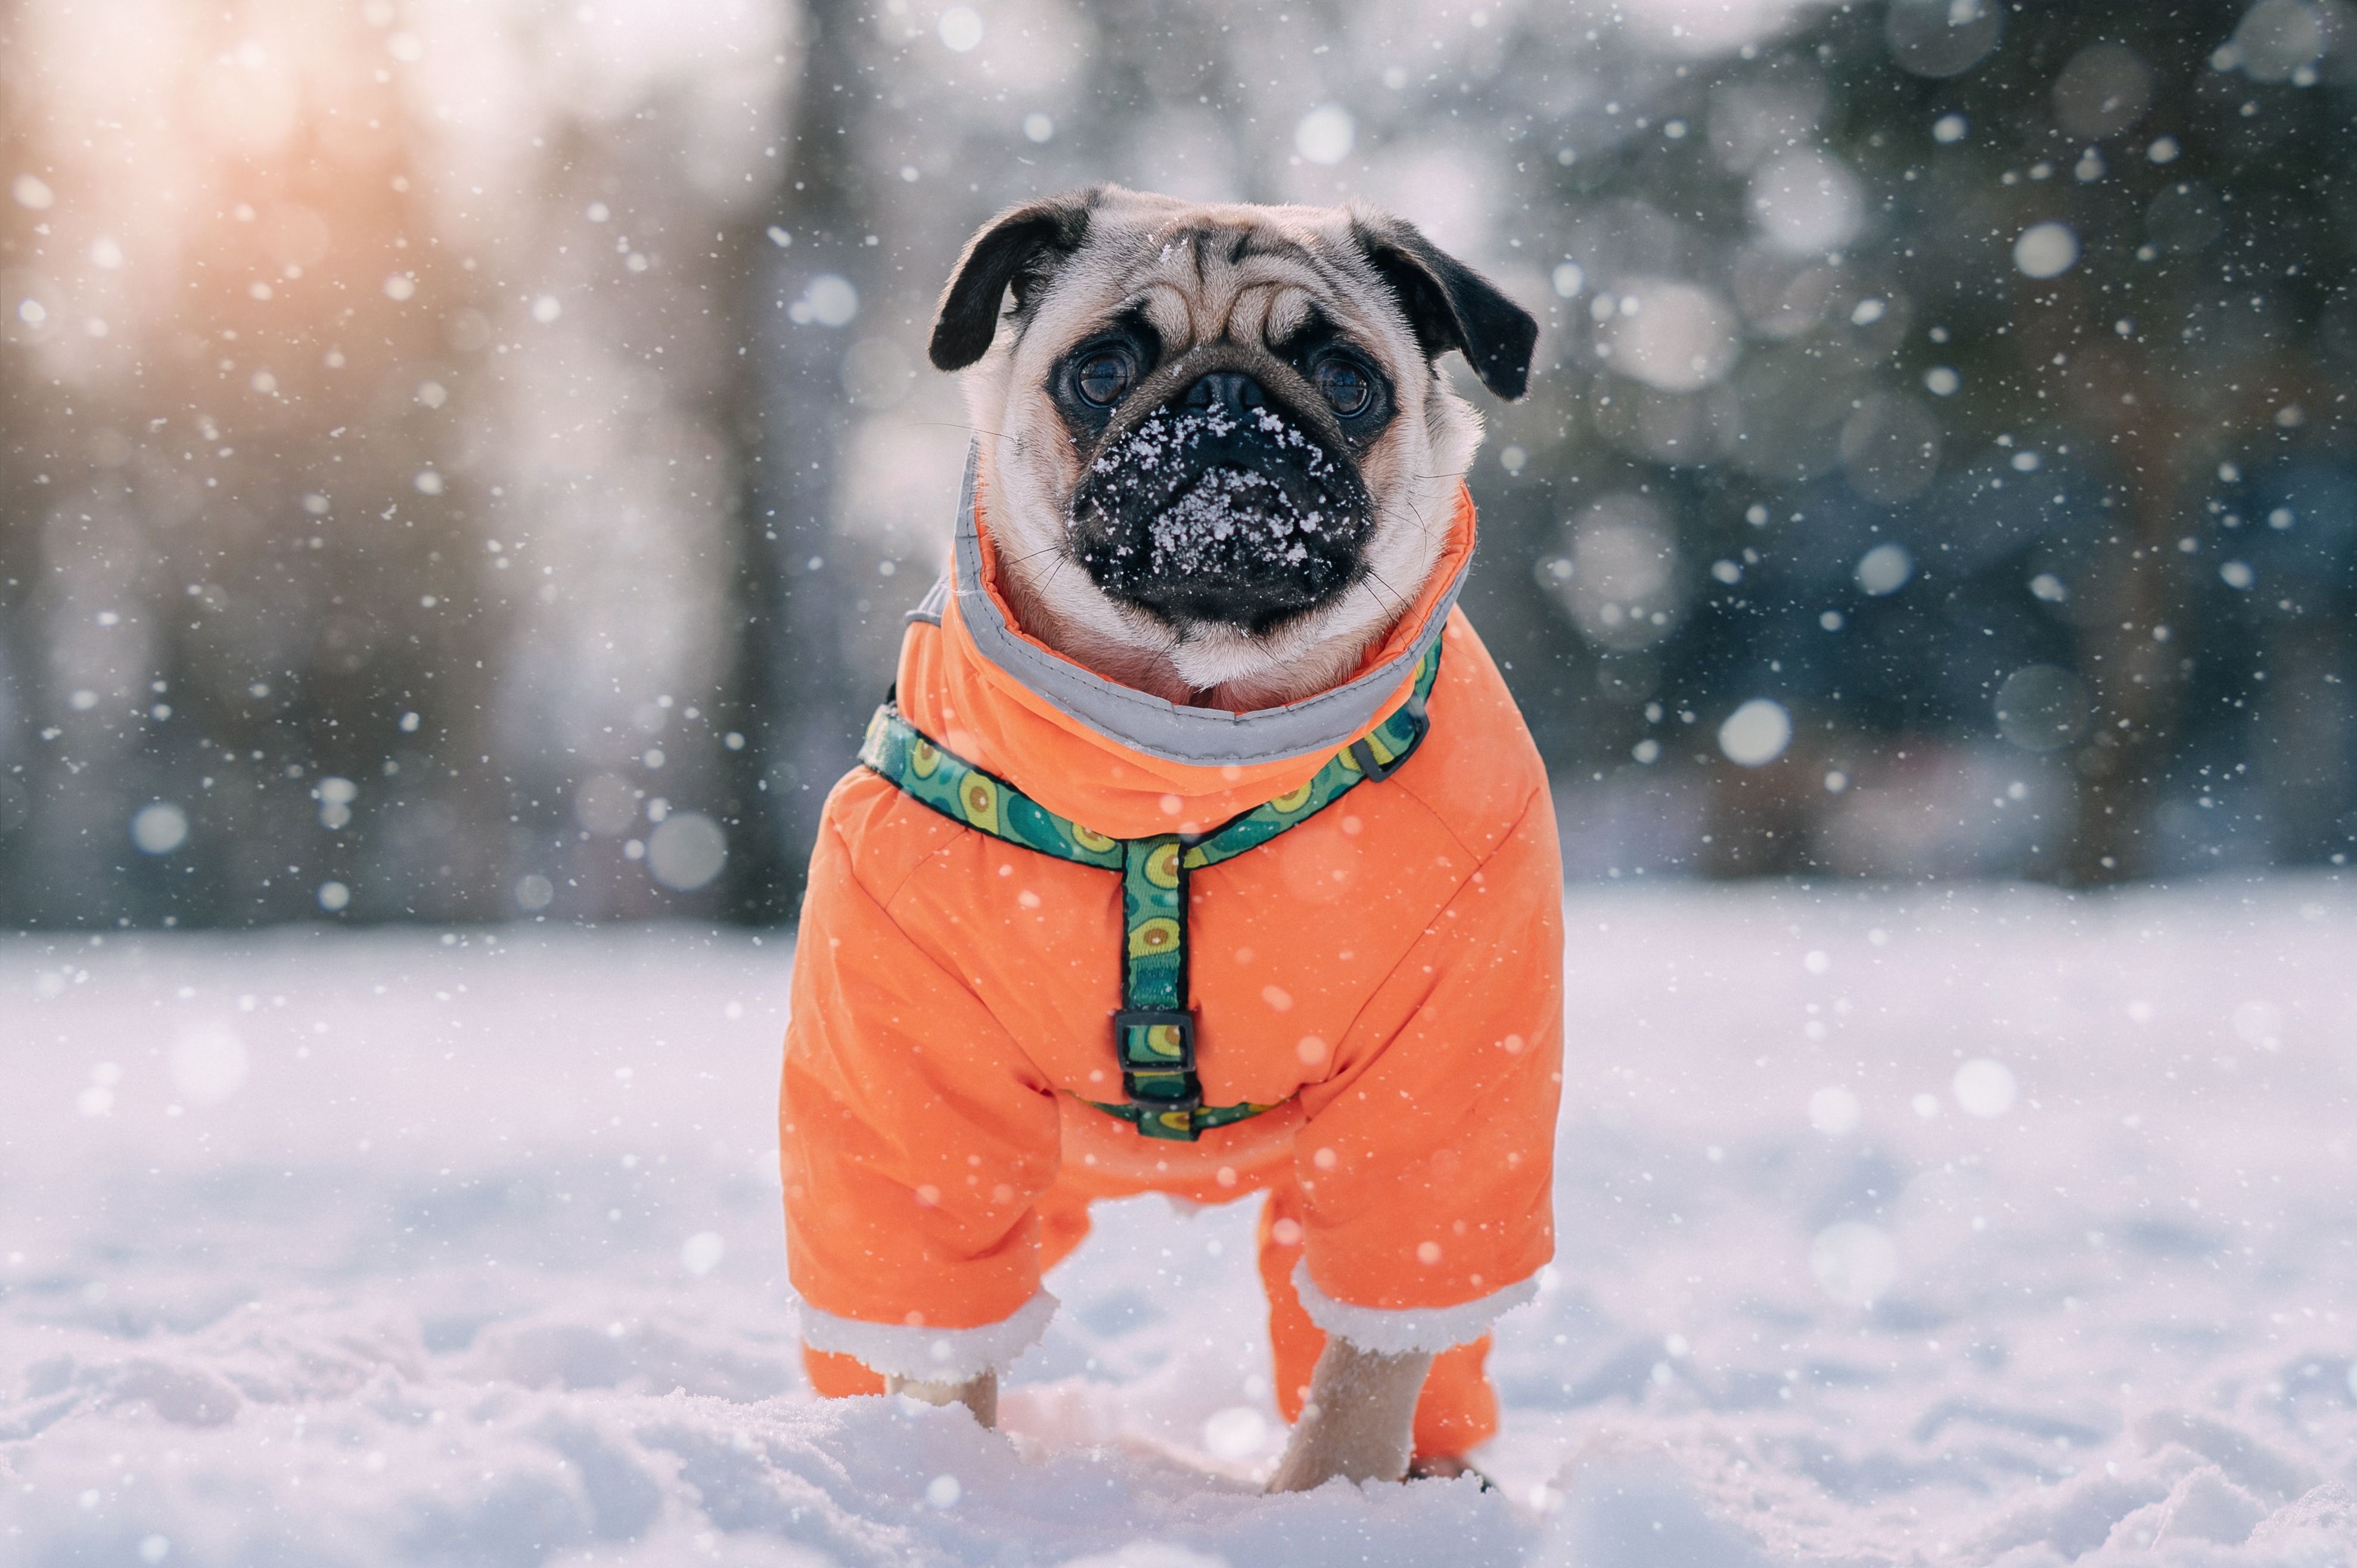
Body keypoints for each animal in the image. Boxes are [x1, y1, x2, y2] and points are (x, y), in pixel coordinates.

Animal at [791, 184, 1555, 1490]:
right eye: (1102, 370)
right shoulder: (909, 1080)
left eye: (1347, 379)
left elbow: (1370, 1361)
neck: (1187, 751)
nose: (1228, 403)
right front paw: (944, 1481)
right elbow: (937, 1329)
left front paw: (1331, 1502)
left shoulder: (1441, 1093)